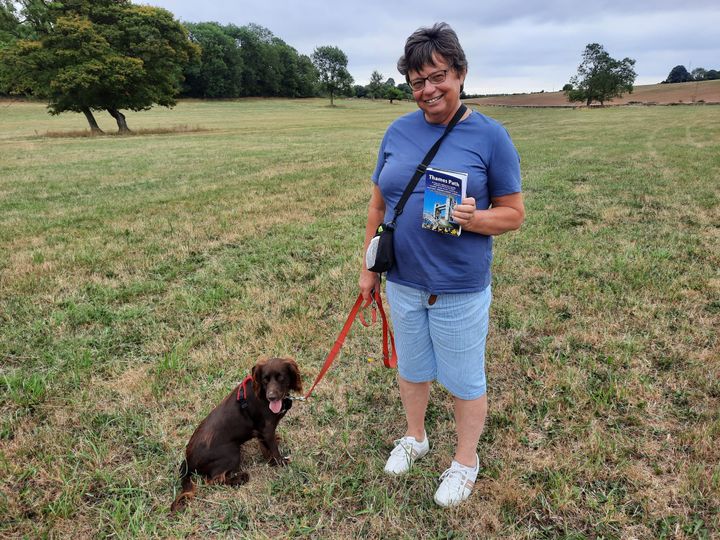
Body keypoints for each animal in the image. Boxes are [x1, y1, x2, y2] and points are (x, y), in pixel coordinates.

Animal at [172, 356, 300, 512]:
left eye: (281, 377)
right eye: (265, 379)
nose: (271, 397)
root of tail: (188, 460)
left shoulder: (262, 431)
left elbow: (265, 447)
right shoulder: (267, 428)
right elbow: (274, 450)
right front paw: (280, 462)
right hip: (232, 453)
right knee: (213, 480)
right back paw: (240, 479)